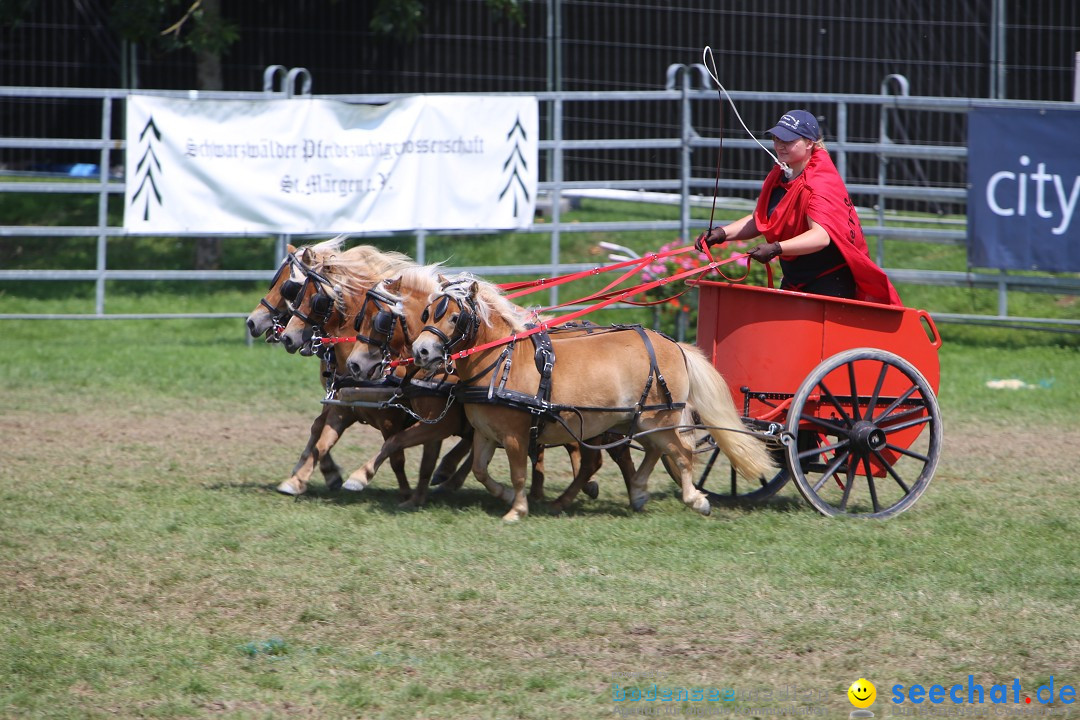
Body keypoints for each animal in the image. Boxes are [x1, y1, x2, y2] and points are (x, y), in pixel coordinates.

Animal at [343, 267, 639, 515]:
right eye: (359, 319)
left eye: (380, 319)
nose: (355, 365)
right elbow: (426, 458)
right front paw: (419, 495)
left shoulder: (441, 423)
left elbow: (397, 442)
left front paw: (359, 477)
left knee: (606, 456)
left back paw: (631, 493)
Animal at [406, 273, 777, 520]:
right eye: (427, 314)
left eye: (455, 316)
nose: (421, 351)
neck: (501, 361)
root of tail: (674, 345)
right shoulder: (485, 432)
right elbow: (481, 471)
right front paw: (508, 496)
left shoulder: (514, 435)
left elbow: (519, 471)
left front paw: (517, 509)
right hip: (638, 418)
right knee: (656, 450)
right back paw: (638, 491)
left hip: (663, 415)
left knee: (682, 453)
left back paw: (695, 499)